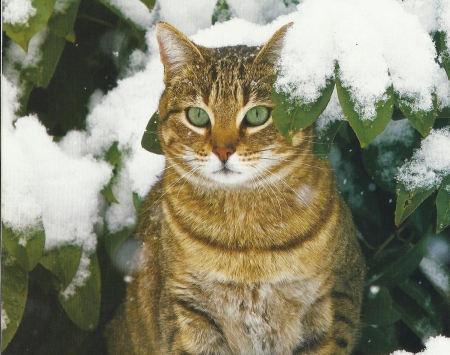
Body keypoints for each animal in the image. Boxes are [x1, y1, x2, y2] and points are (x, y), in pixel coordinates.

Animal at [105, 22, 366, 355]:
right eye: (197, 115)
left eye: (257, 115)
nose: (223, 150)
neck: (245, 246)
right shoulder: (186, 313)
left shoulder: (333, 301)